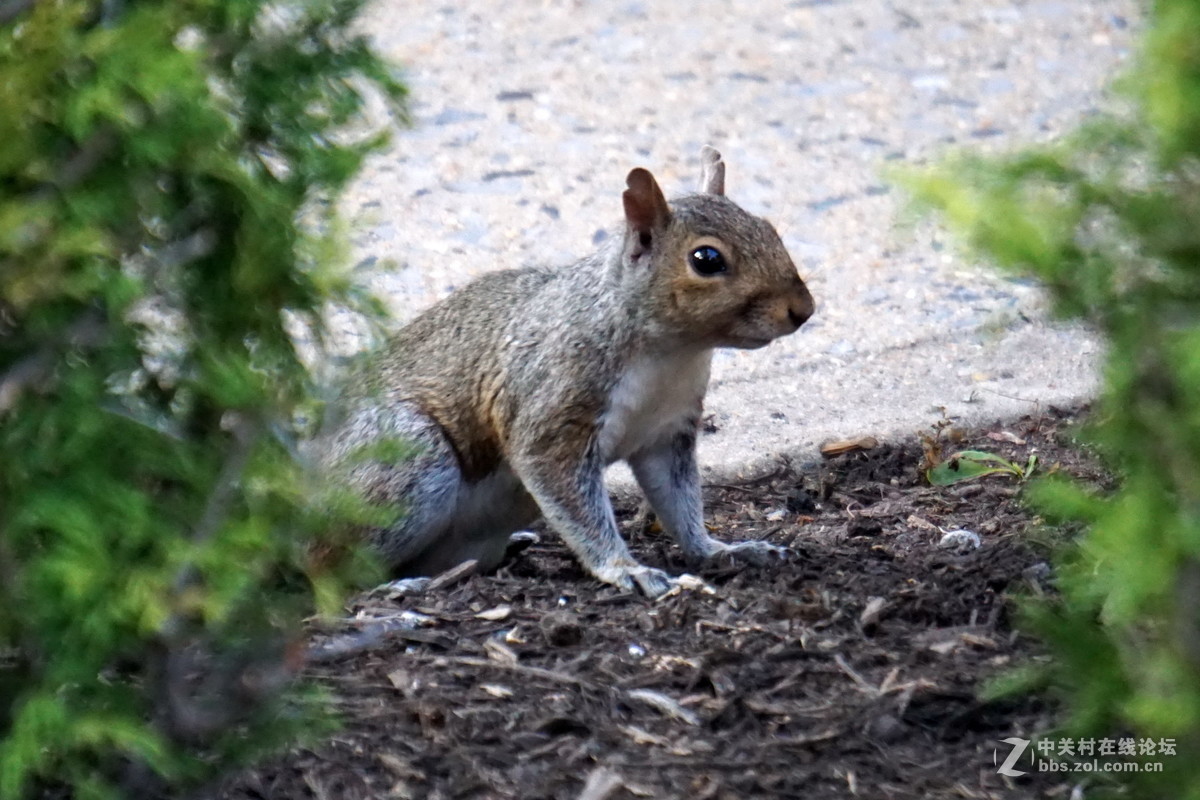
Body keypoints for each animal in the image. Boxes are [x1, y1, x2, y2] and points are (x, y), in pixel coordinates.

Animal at [316, 146, 816, 597]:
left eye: (768, 228)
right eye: (706, 259)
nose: (803, 309)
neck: (670, 354)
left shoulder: (666, 432)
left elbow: (679, 503)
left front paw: (721, 550)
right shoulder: (556, 409)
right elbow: (574, 502)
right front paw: (625, 569)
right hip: (407, 462)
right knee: (327, 568)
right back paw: (393, 588)